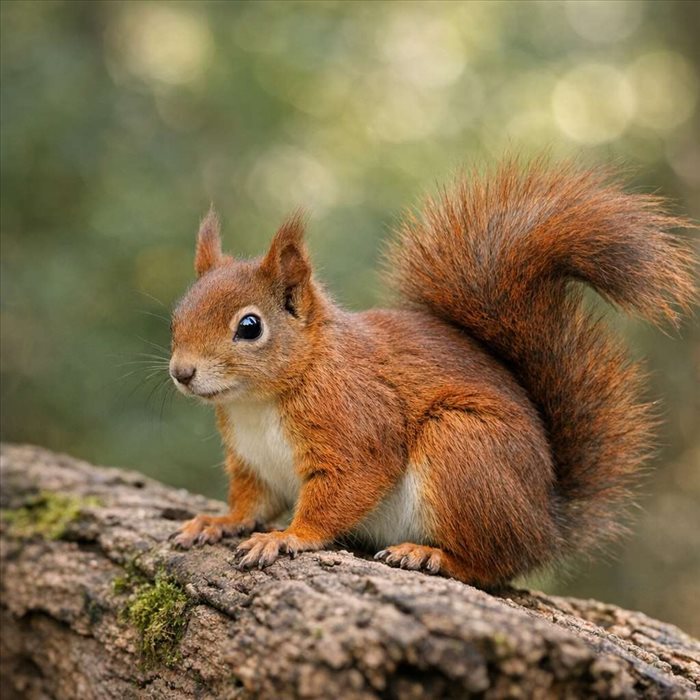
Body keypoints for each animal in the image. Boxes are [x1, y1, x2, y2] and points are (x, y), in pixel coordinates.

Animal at [169, 158, 695, 586]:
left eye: (250, 326)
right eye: (177, 314)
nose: (181, 372)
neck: (257, 403)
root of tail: (545, 524)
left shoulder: (356, 421)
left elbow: (345, 487)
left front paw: (287, 537)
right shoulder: (252, 462)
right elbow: (250, 503)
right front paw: (218, 522)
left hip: (461, 449)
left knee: (489, 565)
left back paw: (431, 556)